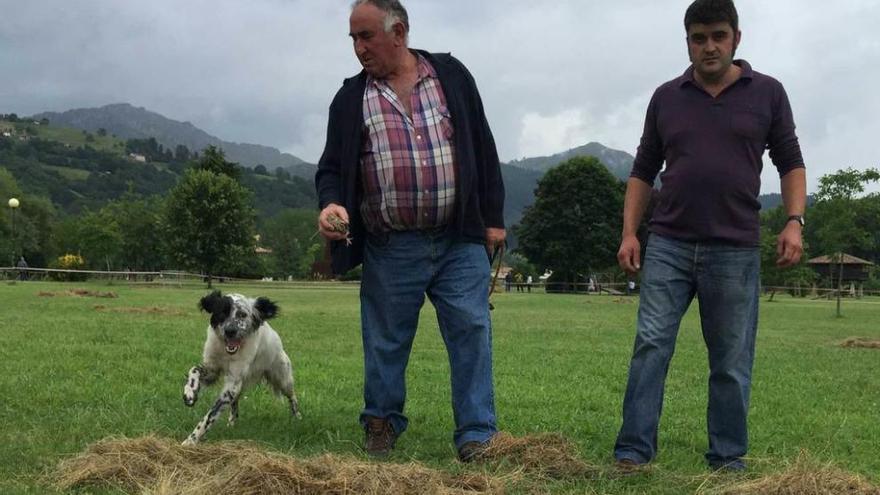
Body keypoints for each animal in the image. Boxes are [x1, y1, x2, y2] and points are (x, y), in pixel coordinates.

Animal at [180, 290, 300, 446]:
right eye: (222, 312)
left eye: (242, 315)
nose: (230, 331)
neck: (227, 352)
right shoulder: (212, 369)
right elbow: (194, 370)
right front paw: (190, 392)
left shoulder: (233, 381)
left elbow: (210, 415)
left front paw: (192, 439)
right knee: (235, 403)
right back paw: (232, 423)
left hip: (282, 378)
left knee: (292, 396)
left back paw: (297, 417)